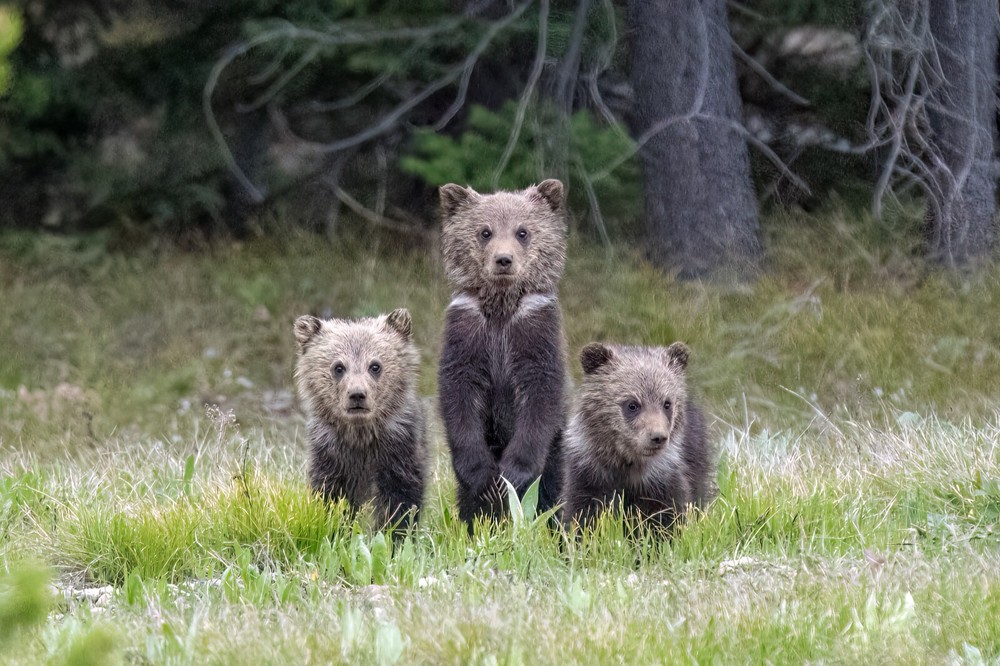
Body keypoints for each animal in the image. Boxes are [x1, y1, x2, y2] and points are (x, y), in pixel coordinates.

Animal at [293, 308, 427, 530]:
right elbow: (330, 496)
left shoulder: (398, 451)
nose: (357, 394)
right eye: (338, 367)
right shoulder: (329, 454)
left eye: (375, 366)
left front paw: (393, 531)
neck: (360, 437)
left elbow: (401, 499)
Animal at [437, 179, 568, 529]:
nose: (504, 260)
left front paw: (513, 472)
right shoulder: (467, 332)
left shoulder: (535, 331)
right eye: (485, 231)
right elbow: (459, 394)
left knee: (557, 486)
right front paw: (483, 477)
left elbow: (541, 394)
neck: (501, 310)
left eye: (523, 231)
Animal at [561, 342, 715, 532]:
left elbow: (666, 514)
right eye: (632, 404)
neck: (626, 463)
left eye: (667, 403)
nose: (658, 437)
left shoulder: (661, 478)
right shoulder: (589, 472)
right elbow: (583, 513)